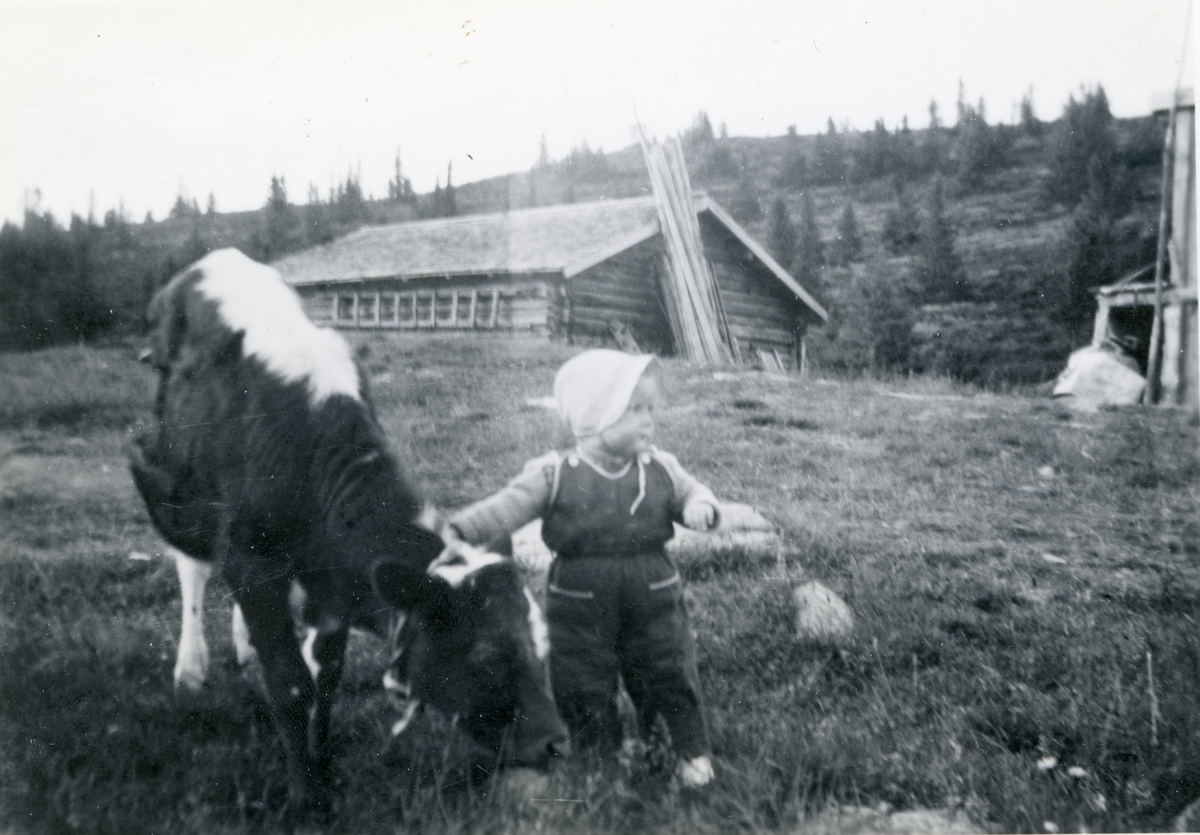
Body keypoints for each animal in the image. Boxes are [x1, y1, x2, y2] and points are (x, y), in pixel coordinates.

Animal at [129, 249, 568, 820]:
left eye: (542, 642)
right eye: (487, 654)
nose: (556, 743)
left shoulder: (331, 577)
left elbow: (326, 677)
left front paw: (324, 767)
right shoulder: (254, 560)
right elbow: (291, 683)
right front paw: (306, 796)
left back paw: (243, 645)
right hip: (176, 479)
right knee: (194, 568)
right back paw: (191, 666)